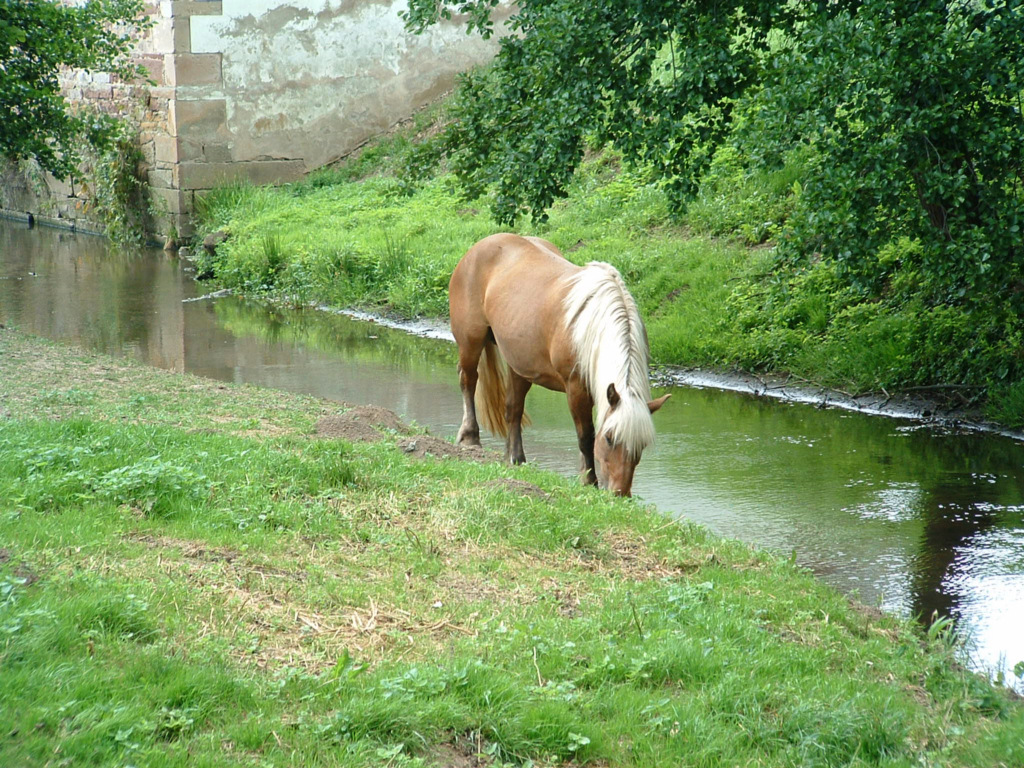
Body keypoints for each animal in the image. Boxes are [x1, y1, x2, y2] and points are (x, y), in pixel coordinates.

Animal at [450, 233, 671, 499]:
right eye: (609, 438)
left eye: (641, 445)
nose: (620, 494)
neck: (594, 326)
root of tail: (481, 246)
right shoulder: (576, 389)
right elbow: (585, 437)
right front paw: (589, 481)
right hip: (471, 342)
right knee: (468, 381)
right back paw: (470, 437)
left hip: (519, 364)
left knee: (513, 409)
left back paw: (515, 459)